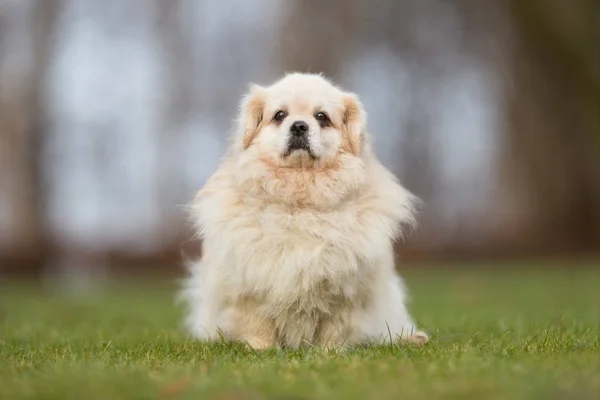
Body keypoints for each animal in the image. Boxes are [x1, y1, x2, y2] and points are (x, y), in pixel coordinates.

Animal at [180, 72, 428, 350]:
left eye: (322, 117)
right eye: (279, 115)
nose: (299, 126)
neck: (299, 201)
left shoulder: (347, 291)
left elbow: (336, 327)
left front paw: (331, 352)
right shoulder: (248, 286)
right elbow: (257, 324)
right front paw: (261, 350)